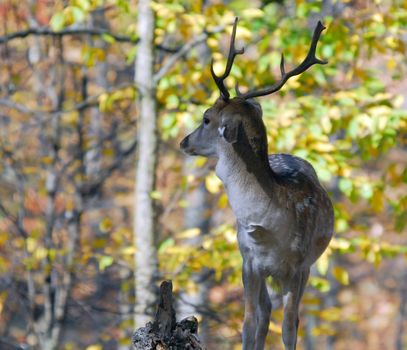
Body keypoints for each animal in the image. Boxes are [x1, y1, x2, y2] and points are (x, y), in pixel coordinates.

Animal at [180, 19, 334, 350]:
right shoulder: (249, 261)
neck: (267, 225)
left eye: (206, 118)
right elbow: (249, 322)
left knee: (280, 315)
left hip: (304, 266)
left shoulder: (298, 266)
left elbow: (289, 327)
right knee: (263, 314)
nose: (184, 141)